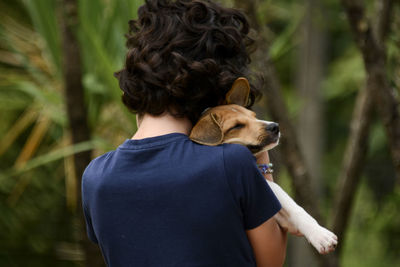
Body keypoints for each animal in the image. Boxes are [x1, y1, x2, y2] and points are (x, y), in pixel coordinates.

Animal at [190, 77, 338, 255]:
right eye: (236, 126)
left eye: (254, 116)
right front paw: (320, 235)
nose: (275, 126)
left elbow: (290, 204)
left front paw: (316, 232)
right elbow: (283, 197)